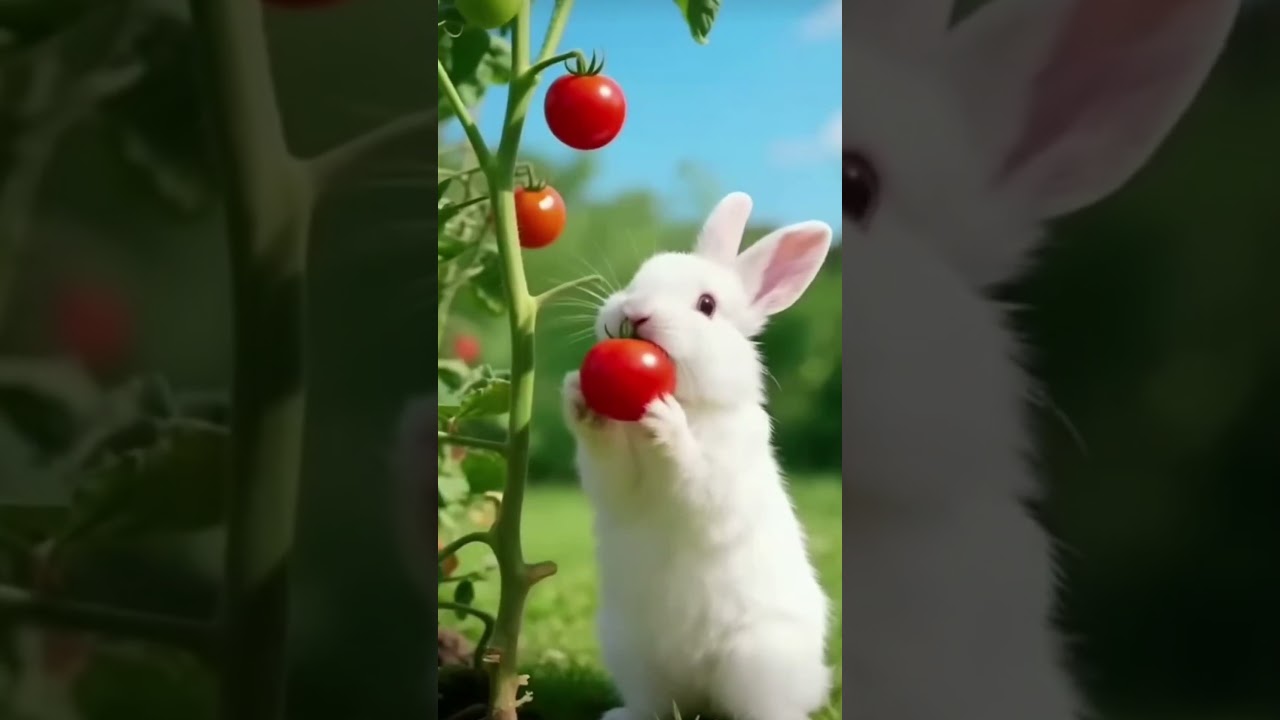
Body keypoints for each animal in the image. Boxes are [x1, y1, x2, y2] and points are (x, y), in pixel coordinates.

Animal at [561, 192, 835, 720]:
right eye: (640, 275)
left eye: (706, 305)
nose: (634, 312)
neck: (689, 402)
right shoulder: (617, 481)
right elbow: (608, 464)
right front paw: (577, 395)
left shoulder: (720, 479)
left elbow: (695, 476)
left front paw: (666, 422)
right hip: (630, 652)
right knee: (653, 702)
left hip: (756, 660)